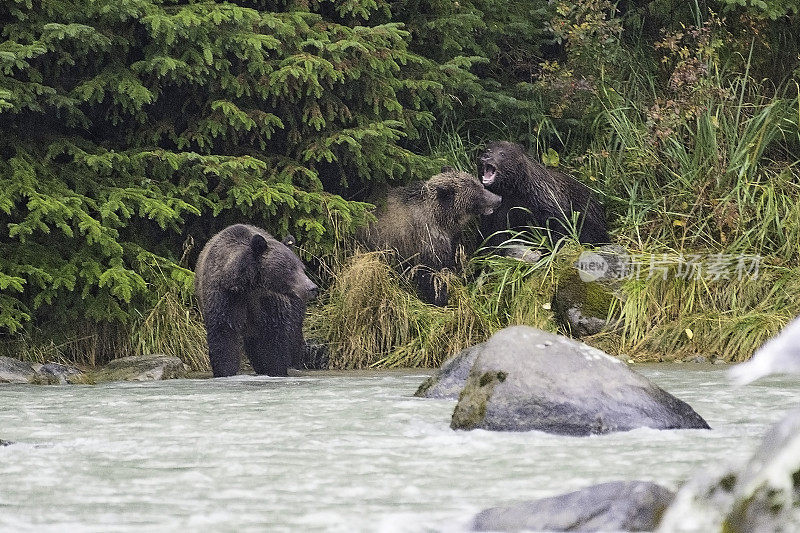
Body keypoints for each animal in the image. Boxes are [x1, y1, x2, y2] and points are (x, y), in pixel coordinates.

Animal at [195, 224, 318, 378]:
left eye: (302, 268)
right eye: (290, 268)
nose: (312, 288)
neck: (248, 286)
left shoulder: (268, 302)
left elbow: (274, 338)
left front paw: (276, 370)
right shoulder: (225, 297)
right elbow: (223, 335)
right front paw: (225, 371)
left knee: (293, 334)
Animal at [360, 168, 500, 306]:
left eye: (480, 186)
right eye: (477, 193)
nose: (498, 199)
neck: (441, 218)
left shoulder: (449, 237)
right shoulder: (427, 238)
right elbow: (432, 274)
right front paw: (441, 299)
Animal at [478, 141, 608, 247]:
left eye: (502, 154)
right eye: (488, 150)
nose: (486, 157)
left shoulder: (547, 203)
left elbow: (559, 225)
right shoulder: (500, 211)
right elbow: (496, 234)